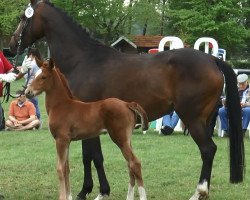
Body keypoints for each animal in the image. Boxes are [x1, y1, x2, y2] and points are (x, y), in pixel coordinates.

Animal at [24, 59, 148, 200]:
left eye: (43, 77)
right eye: (34, 75)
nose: (28, 92)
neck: (61, 105)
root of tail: (127, 104)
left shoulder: (60, 140)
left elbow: (60, 169)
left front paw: (62, 196)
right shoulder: (67, 141)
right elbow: (66, 169)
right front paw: (69, 196)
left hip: (120, 138)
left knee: (135, 163)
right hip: (127, 140)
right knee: (130, 165)